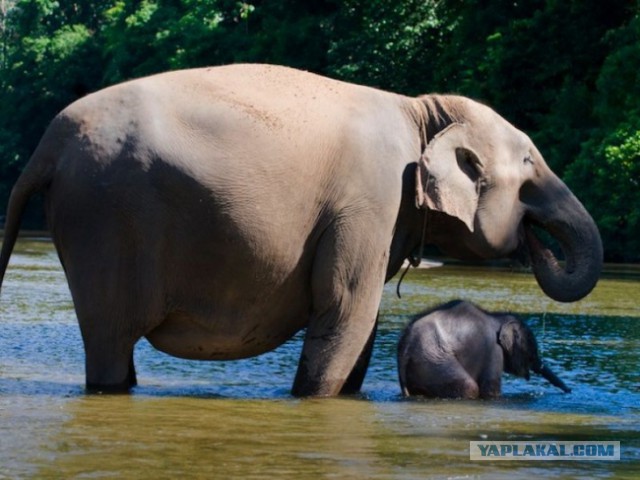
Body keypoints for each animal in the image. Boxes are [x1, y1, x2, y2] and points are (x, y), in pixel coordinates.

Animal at [398, 300, 572, 398]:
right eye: (531, 353)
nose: (570, 391)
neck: (496, 317)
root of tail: (406, 346)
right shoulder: (493, 350)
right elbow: (491, 390)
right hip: (434, 359)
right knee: (469, 388)